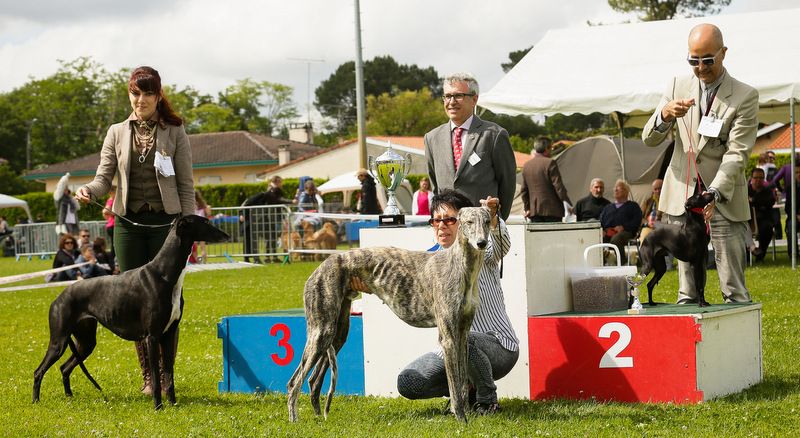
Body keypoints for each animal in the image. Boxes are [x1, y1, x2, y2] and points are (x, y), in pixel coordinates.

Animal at [32, 216, 228, 410]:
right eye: (205, 222)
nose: (226, 236)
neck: (164, 274)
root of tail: (58, 297)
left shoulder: (168, 334)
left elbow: (169, 374)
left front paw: (173, 404)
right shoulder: (152, 337)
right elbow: (156, 378)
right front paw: (158, 407)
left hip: (86, 342)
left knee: (64, 368)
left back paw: (69, 397)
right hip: (59, 341)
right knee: (38, 371)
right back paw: (36, 401)